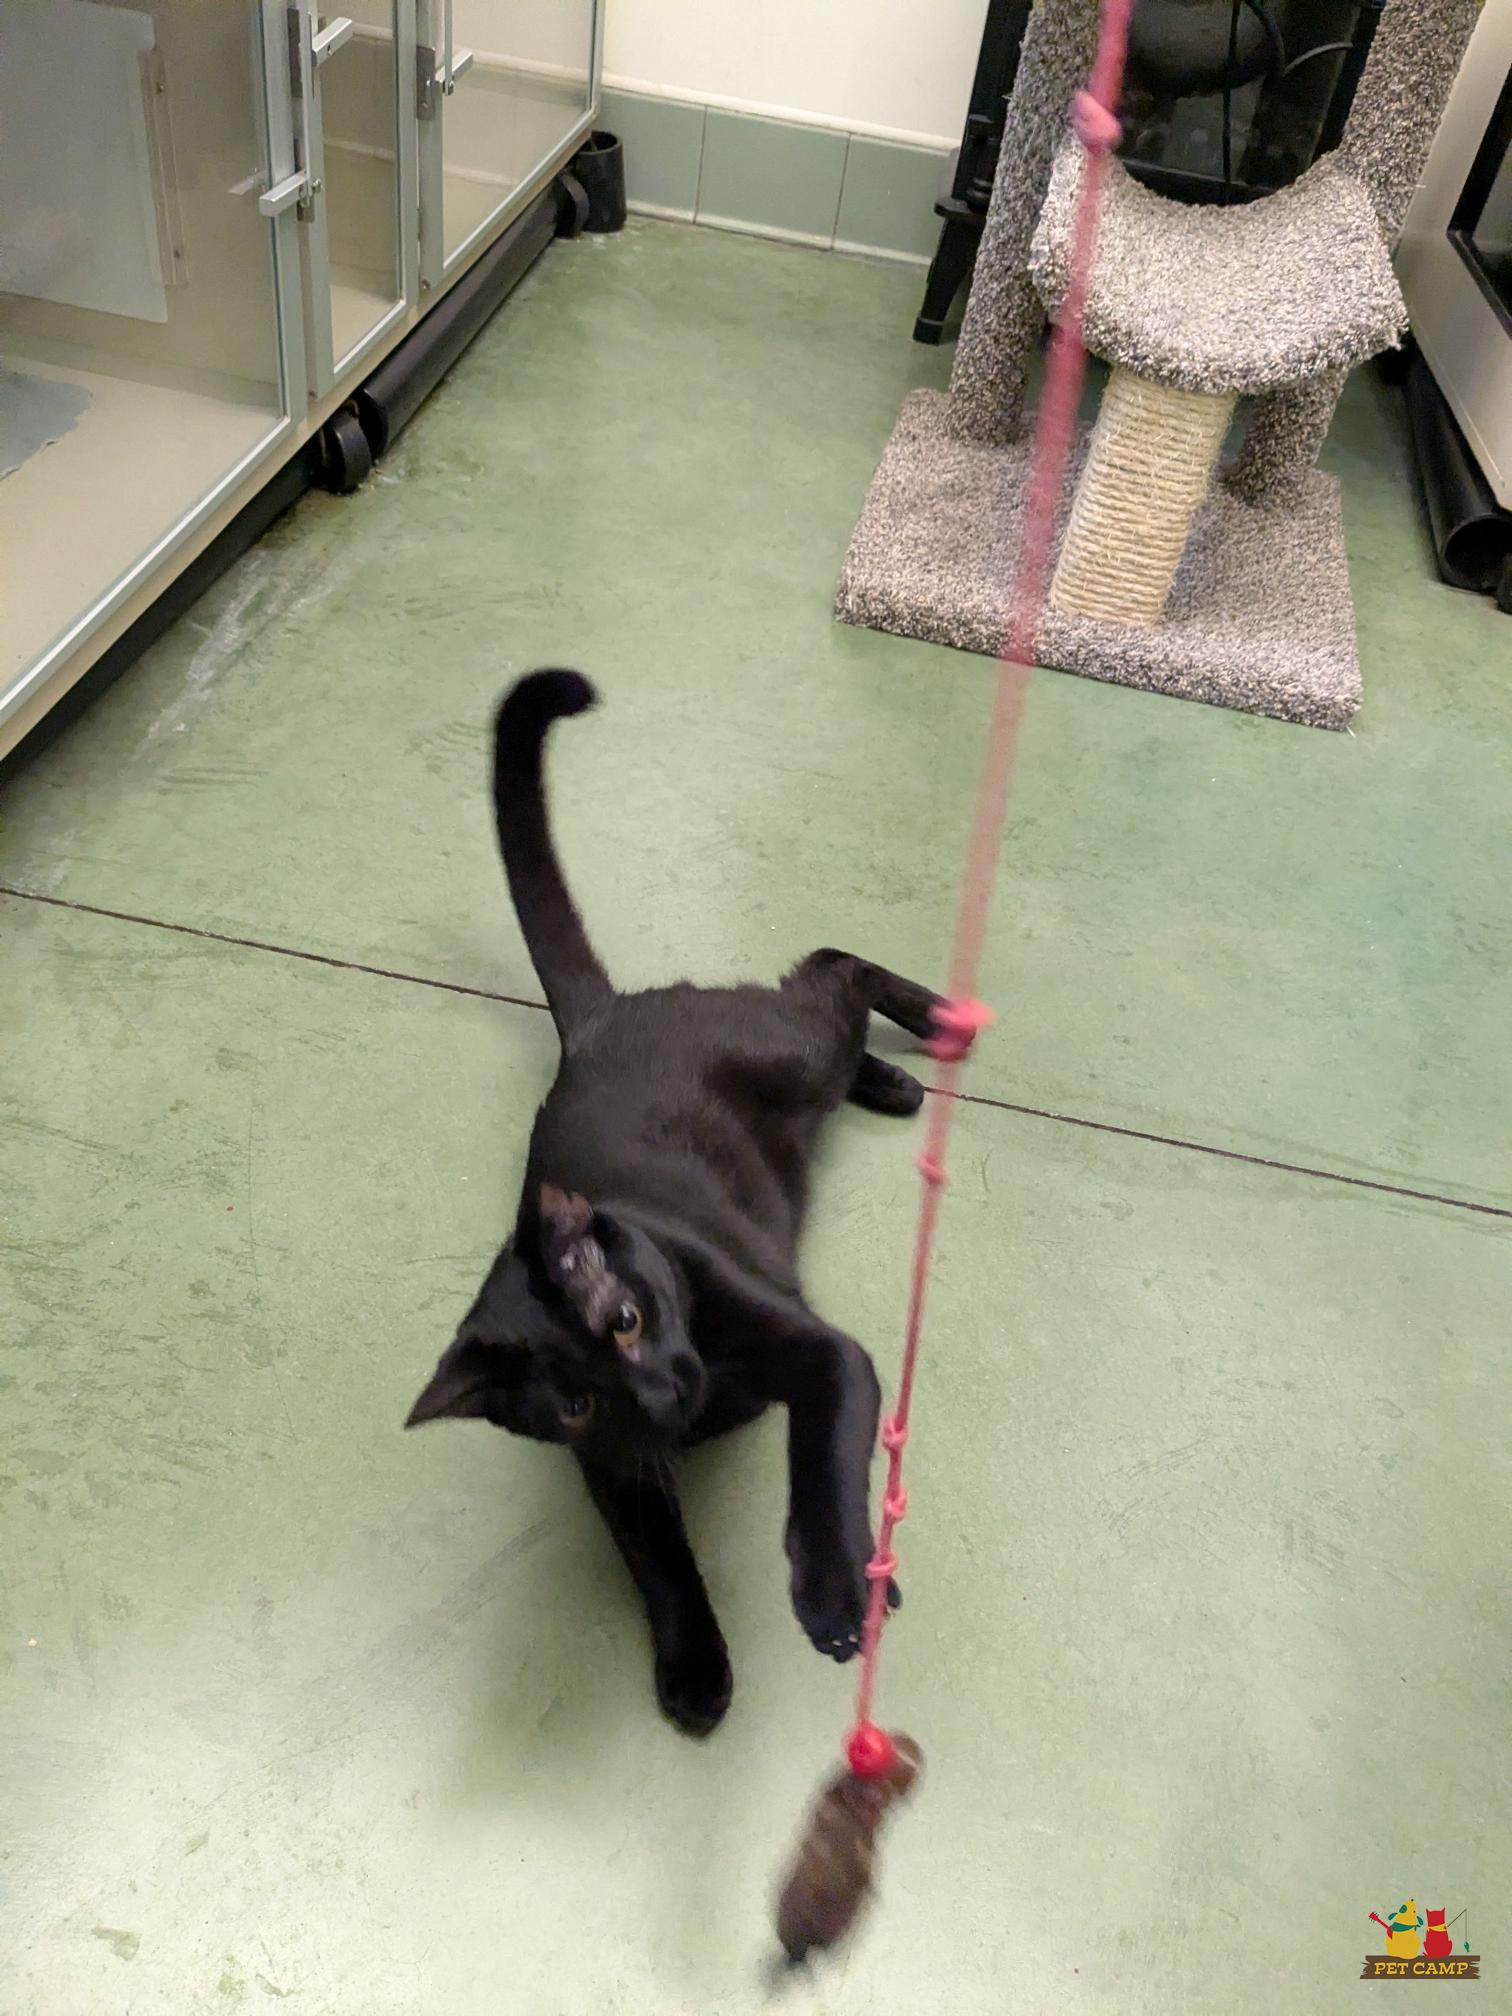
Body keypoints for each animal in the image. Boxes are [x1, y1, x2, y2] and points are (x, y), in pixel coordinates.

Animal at [406, 670, 943, 1735]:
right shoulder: (618, 1467)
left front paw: (835, 1591)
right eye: (573, 1401)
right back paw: (893, 1083)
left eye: (625, 1317)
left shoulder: (828, 1357)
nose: (661, 1394)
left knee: (833, 965)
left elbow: (821, 1464)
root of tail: (600, 1019)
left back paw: (940, 1024)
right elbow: (657, 1565)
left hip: (792, 1047)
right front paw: (695, 1668)